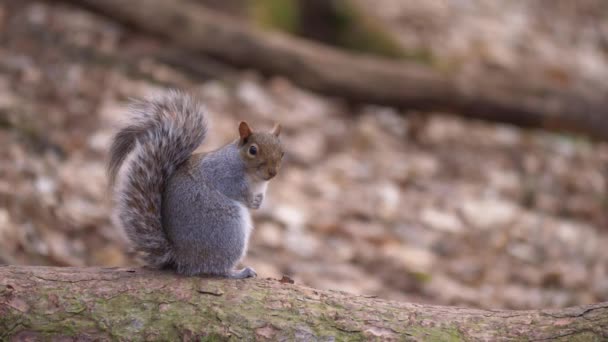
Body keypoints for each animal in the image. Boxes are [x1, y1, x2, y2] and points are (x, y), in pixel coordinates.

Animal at [106, 90, 282, 278]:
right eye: (253, 150)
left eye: (282, 152)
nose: (272, 173)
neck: (256, 179)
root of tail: (182, 258)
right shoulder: (221, 174)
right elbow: (235, 190)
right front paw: (250, 200)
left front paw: (258, 203)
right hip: (227, 228)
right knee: (217, 268)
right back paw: (239, 273)